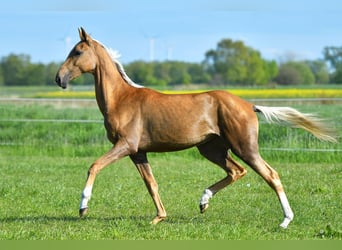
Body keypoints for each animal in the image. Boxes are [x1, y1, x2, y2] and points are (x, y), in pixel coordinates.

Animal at [56, 27, 336, 229]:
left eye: (77, 51)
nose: (59, 79)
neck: (122, 99)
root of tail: (249, 105)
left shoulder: (125, 145)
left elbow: (94, 166)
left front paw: (83, 207)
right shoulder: (138, 152)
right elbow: (151, 183)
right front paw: (159, 217)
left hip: (244, 147)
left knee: (271, 175)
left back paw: (285, 220)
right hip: (211, 149)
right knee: (236, 171)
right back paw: (203, 201)